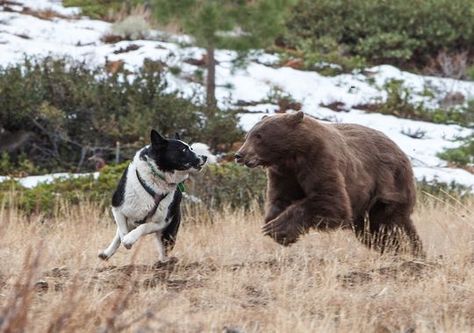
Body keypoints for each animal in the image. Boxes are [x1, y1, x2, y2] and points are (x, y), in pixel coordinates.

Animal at [97, 130, 206, 262]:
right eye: (184, 150)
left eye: (191, 148)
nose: (204, 157)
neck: (156, 178)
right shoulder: (117, 207)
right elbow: (122, 231)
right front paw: (125, 241)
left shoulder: (162, 222)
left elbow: (144, 227)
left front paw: (130, 239)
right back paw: (106, 253)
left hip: (169, 234)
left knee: (164, 251)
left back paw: (163, 263)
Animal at [235, 110, 424, 255]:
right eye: (248, 135)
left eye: (259, 136)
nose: (239, 155)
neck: (292, 155)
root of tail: (401, 151)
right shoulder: (284, 173)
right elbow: (281, 198)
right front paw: (274, 225)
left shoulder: (319, 159)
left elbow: (330, 201)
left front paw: (277, 228)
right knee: (375, 231)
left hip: (388, 187)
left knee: (389, 225)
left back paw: (408, 251)